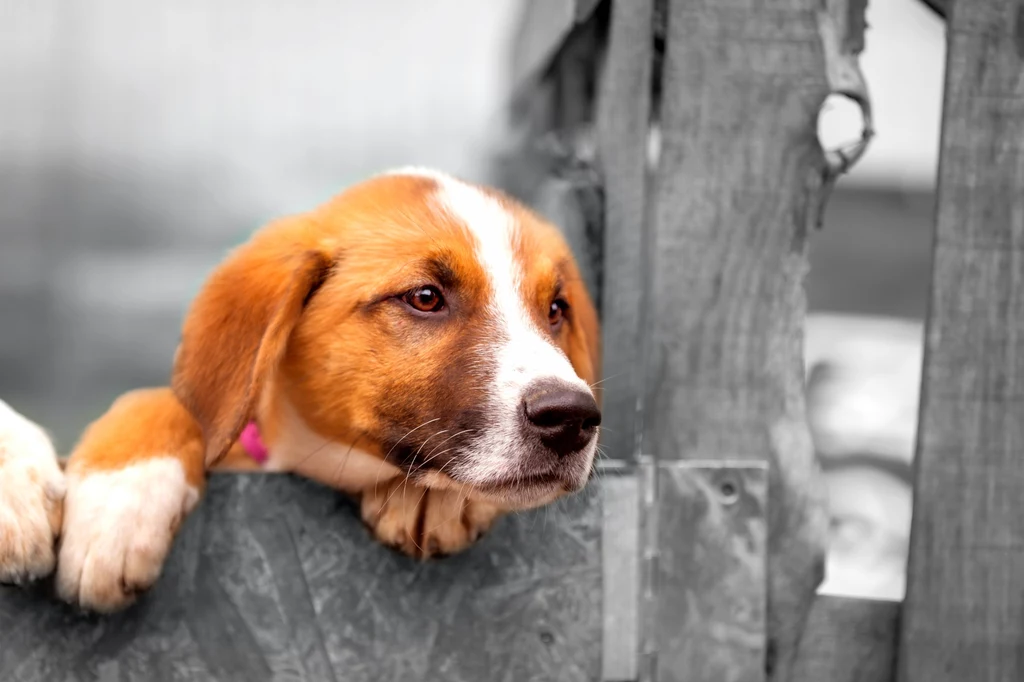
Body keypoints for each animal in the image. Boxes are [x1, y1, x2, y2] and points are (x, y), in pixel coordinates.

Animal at [0, 168, 598, 610]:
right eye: (425, 297)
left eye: (555, 309)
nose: (573, 417)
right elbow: (164, 400)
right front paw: (118, 504)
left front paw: (434, 499)